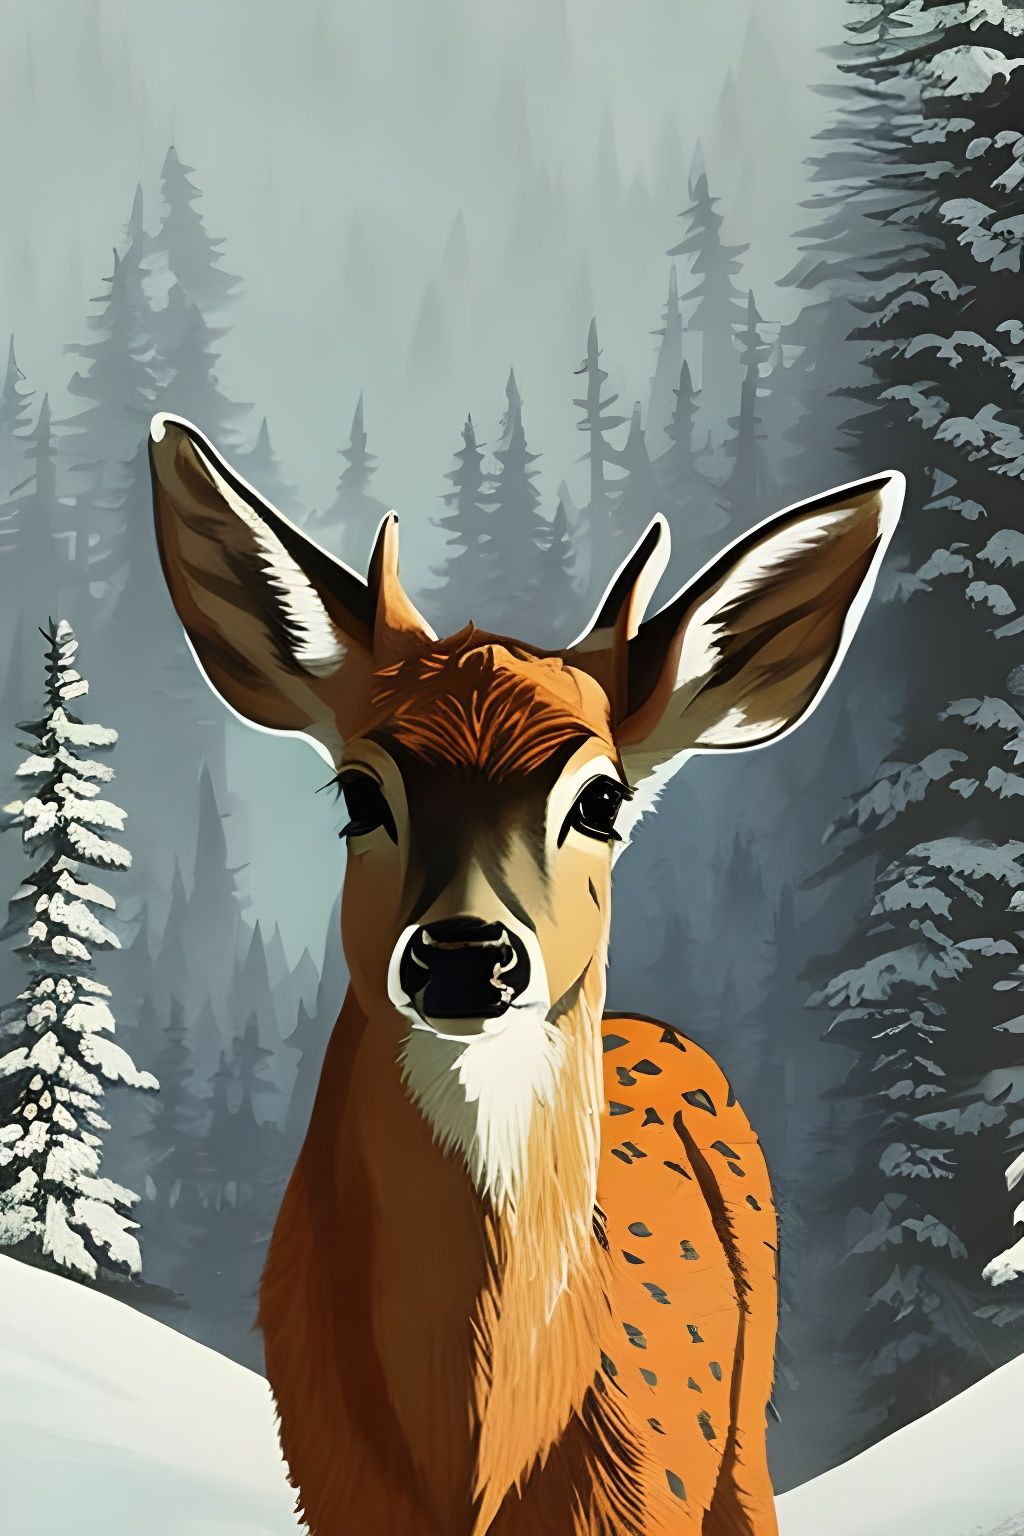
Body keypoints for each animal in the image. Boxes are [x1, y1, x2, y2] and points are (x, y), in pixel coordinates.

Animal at [147, 411, 903, 1536]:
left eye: (601, 798)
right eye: (358, 793)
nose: (465, 954)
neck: (478, 1455)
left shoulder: (646, 1497)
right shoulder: (331, 1491)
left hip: (743, 1421)